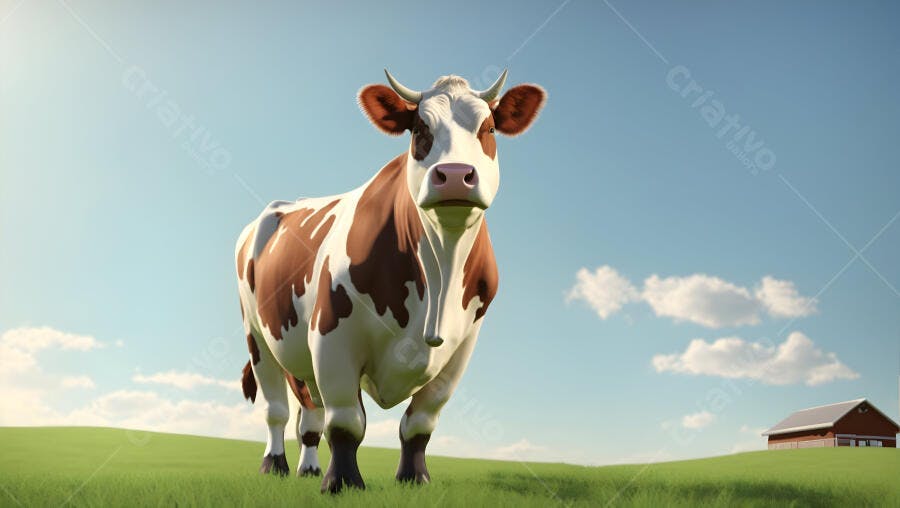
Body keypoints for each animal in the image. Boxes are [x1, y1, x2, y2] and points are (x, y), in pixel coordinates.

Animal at [235, 69, 545, 493]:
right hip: (258, 336)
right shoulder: (332, 336)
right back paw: (275, 466)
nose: (454, 176)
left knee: (309, 415)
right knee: (277, 411)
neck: (440, 274)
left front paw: (414, 478)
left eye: (490, 127)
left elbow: (419, 424)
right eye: (419, 129)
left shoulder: (461, 350)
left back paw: (308, 468)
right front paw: (342, 483)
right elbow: (346, 421)